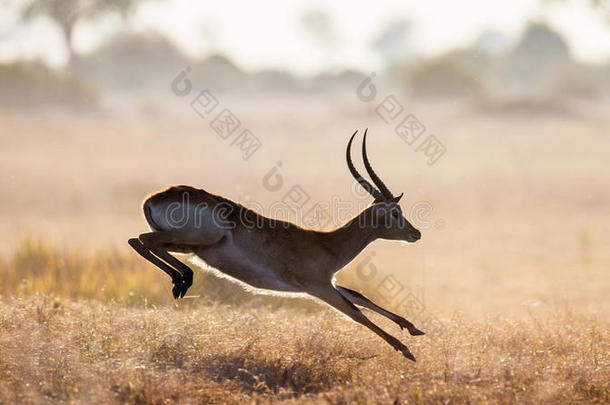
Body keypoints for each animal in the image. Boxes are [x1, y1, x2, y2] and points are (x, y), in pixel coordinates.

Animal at [128, 129, 422, 360]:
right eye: (395, 212)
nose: (415, 233)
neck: (326, 244)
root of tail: (154, 198)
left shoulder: (329, 282)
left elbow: (361, 297)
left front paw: (413, 327)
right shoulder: (319, 287)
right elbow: (356, 313)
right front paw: (406, 350)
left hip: (190, 246)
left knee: (138, 241)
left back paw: (180, 282)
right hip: (198, 240)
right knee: (143, 240)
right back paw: (183, 280)